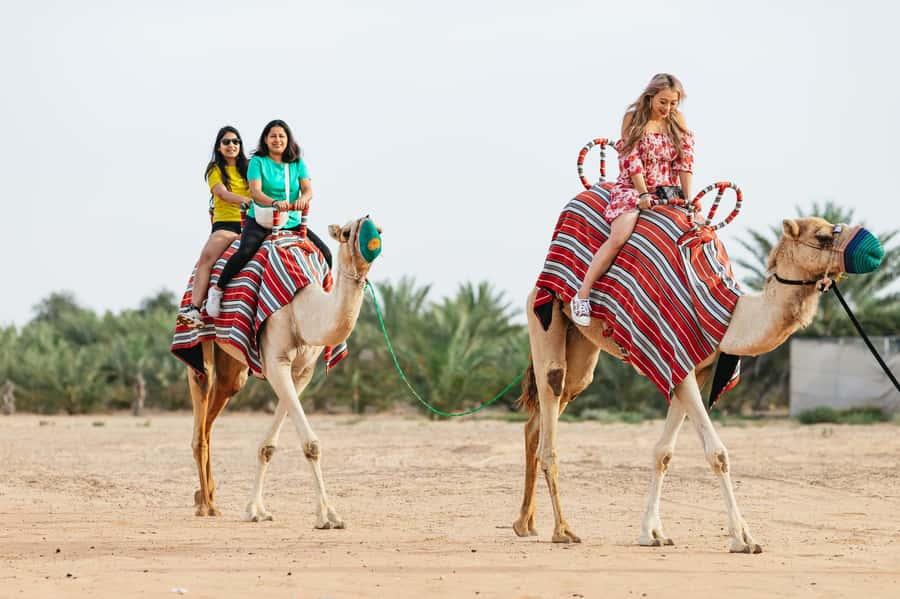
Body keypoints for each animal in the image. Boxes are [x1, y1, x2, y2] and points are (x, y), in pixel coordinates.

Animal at [188, 216, 380, 529]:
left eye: (381, 229)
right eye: (346, 233)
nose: (370, 227)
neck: (304, 308)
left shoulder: (303, 371)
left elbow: (269, 446)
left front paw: (256, 510)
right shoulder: (274, 360)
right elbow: (311, 444)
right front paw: (327, 516)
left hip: (234, 367)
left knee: (215, 411)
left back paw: (207, 498)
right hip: (201, 342)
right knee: (201, 400)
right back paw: (206, 505)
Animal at [512, 216, 883, 552]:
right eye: (822, 236)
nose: (875, 249)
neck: (731, 316)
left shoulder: (698, 369)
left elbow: (663, 452)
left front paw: (653, 533)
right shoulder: (677, 360)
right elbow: (717, 453)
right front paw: (743, 538)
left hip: (582, 348)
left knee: (539, 421)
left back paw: (525, 524)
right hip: (544, 316)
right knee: (551, 401)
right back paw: (562, 530)